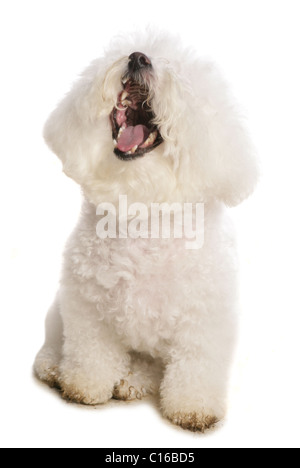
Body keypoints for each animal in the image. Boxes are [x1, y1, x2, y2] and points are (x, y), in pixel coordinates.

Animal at [33, 30, 258, 432]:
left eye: (179, 73)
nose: (138, 58)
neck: (142, 207)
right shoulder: (86, 307)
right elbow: (90, 352)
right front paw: (84, 386)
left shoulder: (205, 319)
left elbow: (196, 365)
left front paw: (193, 408)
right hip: (59, 314)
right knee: (58, 344)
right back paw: (57, 368)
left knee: (152, 366)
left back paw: (133, 381)